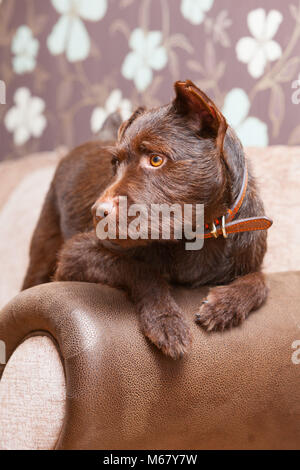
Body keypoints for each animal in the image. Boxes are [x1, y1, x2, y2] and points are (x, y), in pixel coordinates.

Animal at [22, 81, 272, 360]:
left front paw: (225, 306)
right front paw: (166, 321)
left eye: (155, 159)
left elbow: (260, 282)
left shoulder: (252, 261)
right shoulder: (74, 255)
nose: (98, 212)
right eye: (115, 163)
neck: (198, 233)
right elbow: (143, 269)